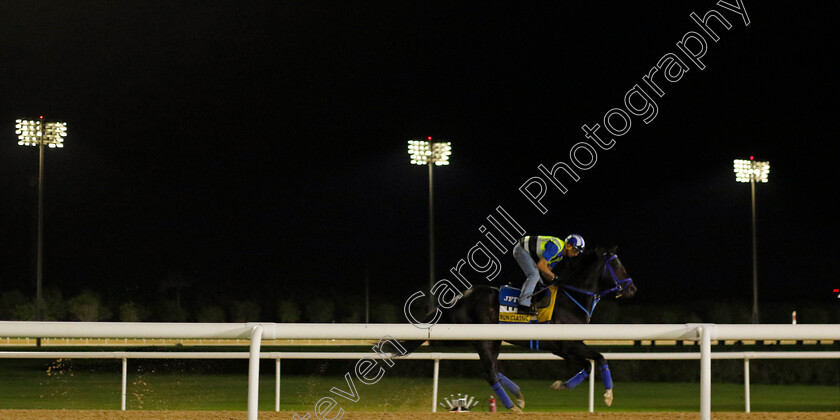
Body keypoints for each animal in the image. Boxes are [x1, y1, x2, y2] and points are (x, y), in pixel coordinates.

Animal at [402, 248, 636, 412]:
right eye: (617, 266)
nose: (632, 289)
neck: (572, 298)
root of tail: (459, 297)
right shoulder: (568, 345)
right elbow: (600, 358)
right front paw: (608, 396)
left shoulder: (563, 348)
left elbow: (588, 365)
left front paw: (560, 386)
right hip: (483, 340)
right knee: (489, 372)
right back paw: (512, 405)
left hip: (494, 340)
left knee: (492, 369)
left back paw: (519, 397)